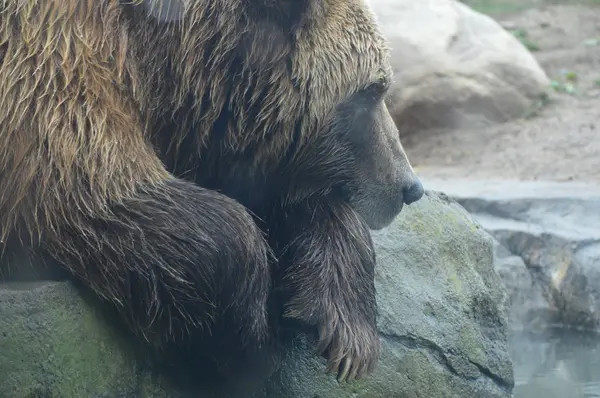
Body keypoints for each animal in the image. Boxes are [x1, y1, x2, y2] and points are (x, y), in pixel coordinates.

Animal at [0, 0, 424, 388]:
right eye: (371, 92)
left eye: (380, 86)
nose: (410, 187)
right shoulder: (50, 55)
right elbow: (85, 185)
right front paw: (251, 346)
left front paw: (347, 331)